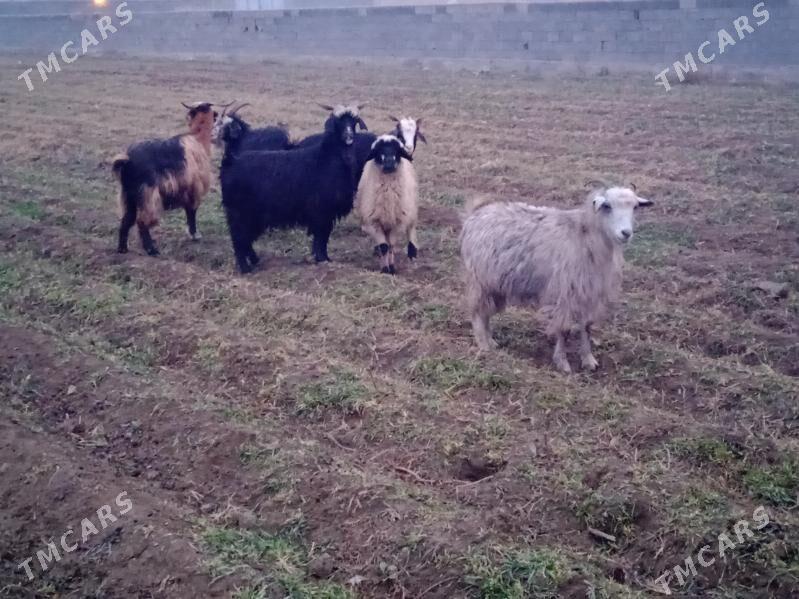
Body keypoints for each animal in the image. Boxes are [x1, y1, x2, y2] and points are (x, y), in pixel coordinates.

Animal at [112, 101, 219, 256]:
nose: (217, 115)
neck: (197, 138)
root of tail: (127, 160)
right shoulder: (194, 189)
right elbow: (191, 212)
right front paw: (194, 235)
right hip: (148, 194)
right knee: (142, 221)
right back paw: (152, 250)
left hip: (129, 195)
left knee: (127, 220)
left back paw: (122, 249)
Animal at [219, 104, 363, 273]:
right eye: (338, 122)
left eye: (353, 122)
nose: (349, 136)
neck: (327, 159)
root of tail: (230, 161)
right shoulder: (322, 211)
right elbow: (321, 237)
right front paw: (322, 259)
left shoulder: (325, 213)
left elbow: (322, 238)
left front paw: (324, 258)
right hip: (240, 213)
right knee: (239, 239)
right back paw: (245, 268)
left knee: (245, 239)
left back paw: (255, 260)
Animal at [354, 135, 418, 274]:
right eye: (378, 152)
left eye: (397, 151)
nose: (389, 163)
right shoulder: (374, 221)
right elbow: (384, 246)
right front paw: (385, 268)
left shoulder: (398, 221)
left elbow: (391, 246)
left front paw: (392, 267)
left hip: (411, 207)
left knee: (410, 228)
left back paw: (412, 251)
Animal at [459, 186, 653, 373]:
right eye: (607, 206)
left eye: (635, 207)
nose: (626, 233)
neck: (586, 236)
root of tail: (475, 214)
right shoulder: (564, 292)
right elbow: (564, 329)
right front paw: (563, 363)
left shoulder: (589, 292)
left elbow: (587, 326)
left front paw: (588, 360)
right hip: (480, 280)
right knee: (477, 312)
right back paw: (484, 345)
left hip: (495, 283)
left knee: (486, 313)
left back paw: (491, 341)